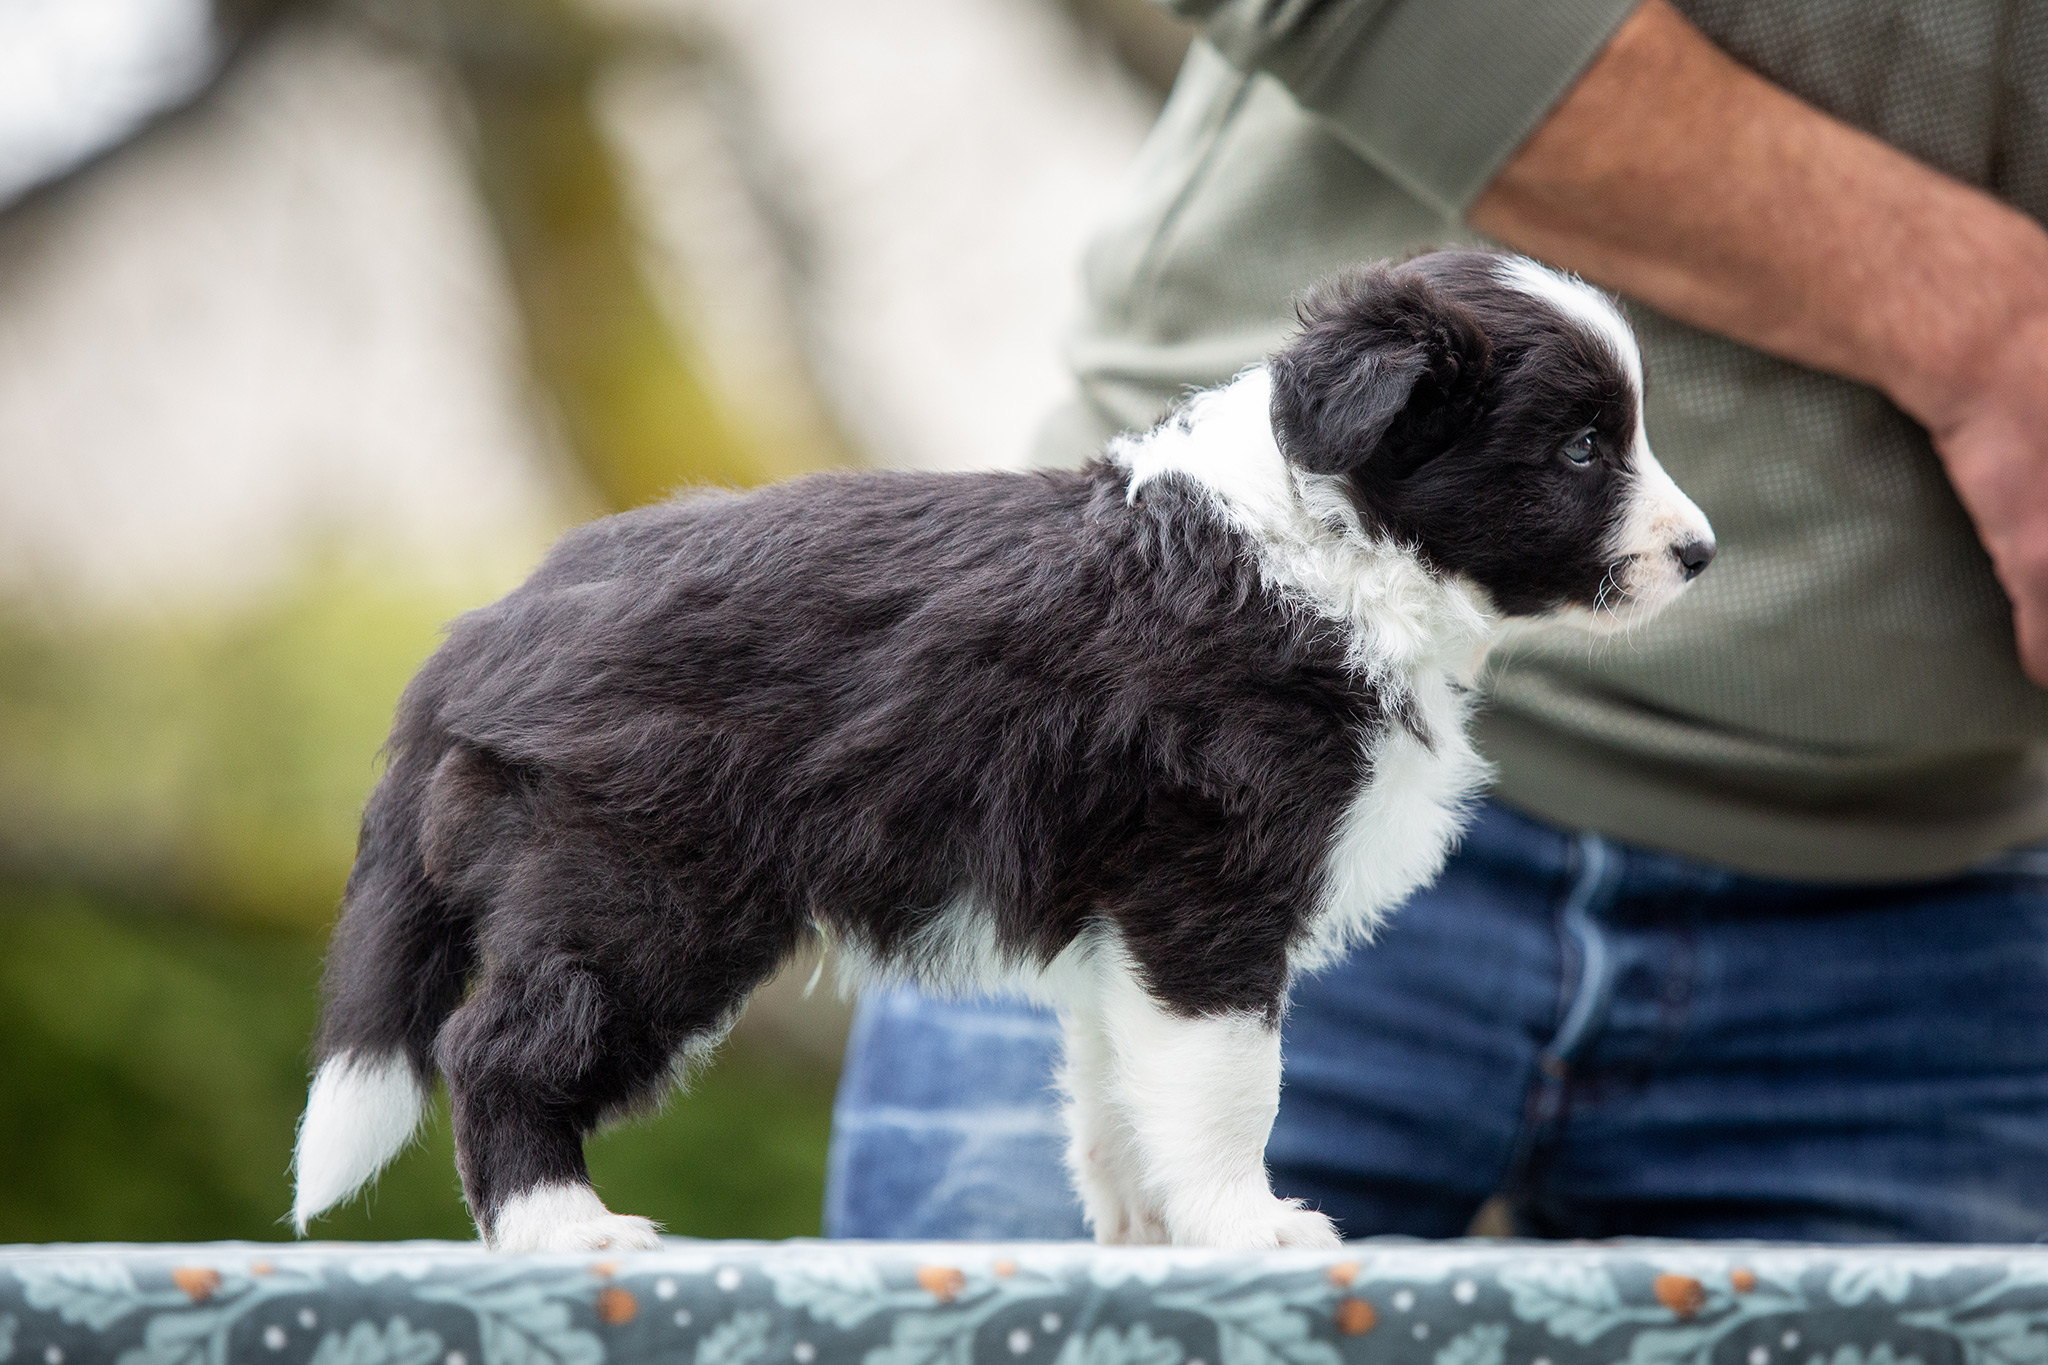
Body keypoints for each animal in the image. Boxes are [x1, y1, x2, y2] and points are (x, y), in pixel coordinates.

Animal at [288, 245, 1712, 1252]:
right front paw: (1247, 1226)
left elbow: (1117, 1083)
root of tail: (483, 631)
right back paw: (564, 1232)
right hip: (638, 887)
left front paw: (1148, 1233)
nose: (1701, 555)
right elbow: (1229, 1080)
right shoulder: (1208, 886)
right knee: (502, 1045)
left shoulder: (1125, 921)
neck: (1323, 548)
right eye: (1580, 448)